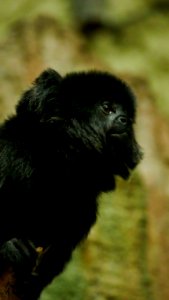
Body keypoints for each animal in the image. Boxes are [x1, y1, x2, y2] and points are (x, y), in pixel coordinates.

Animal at [0, 68, 143, 298]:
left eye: (128, 116)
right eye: (107, 107)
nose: (124, 120)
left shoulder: (86, 208)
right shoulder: (9, 153)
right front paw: (8, 247)